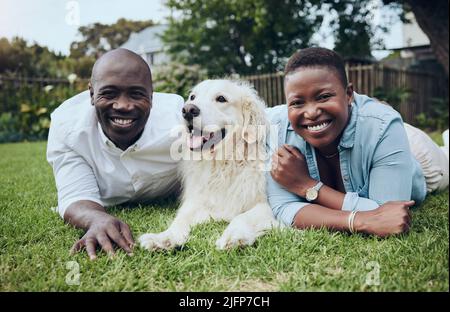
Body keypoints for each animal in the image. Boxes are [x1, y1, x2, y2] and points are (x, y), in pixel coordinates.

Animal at [139, 79, 280, 250]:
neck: (223, 163)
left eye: (221, 98)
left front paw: (234, 236)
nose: (188, 110)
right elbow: (180, 219)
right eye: (192, 97)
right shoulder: (197, 202)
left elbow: (242, 217)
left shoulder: (265, 206)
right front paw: (164, 237)